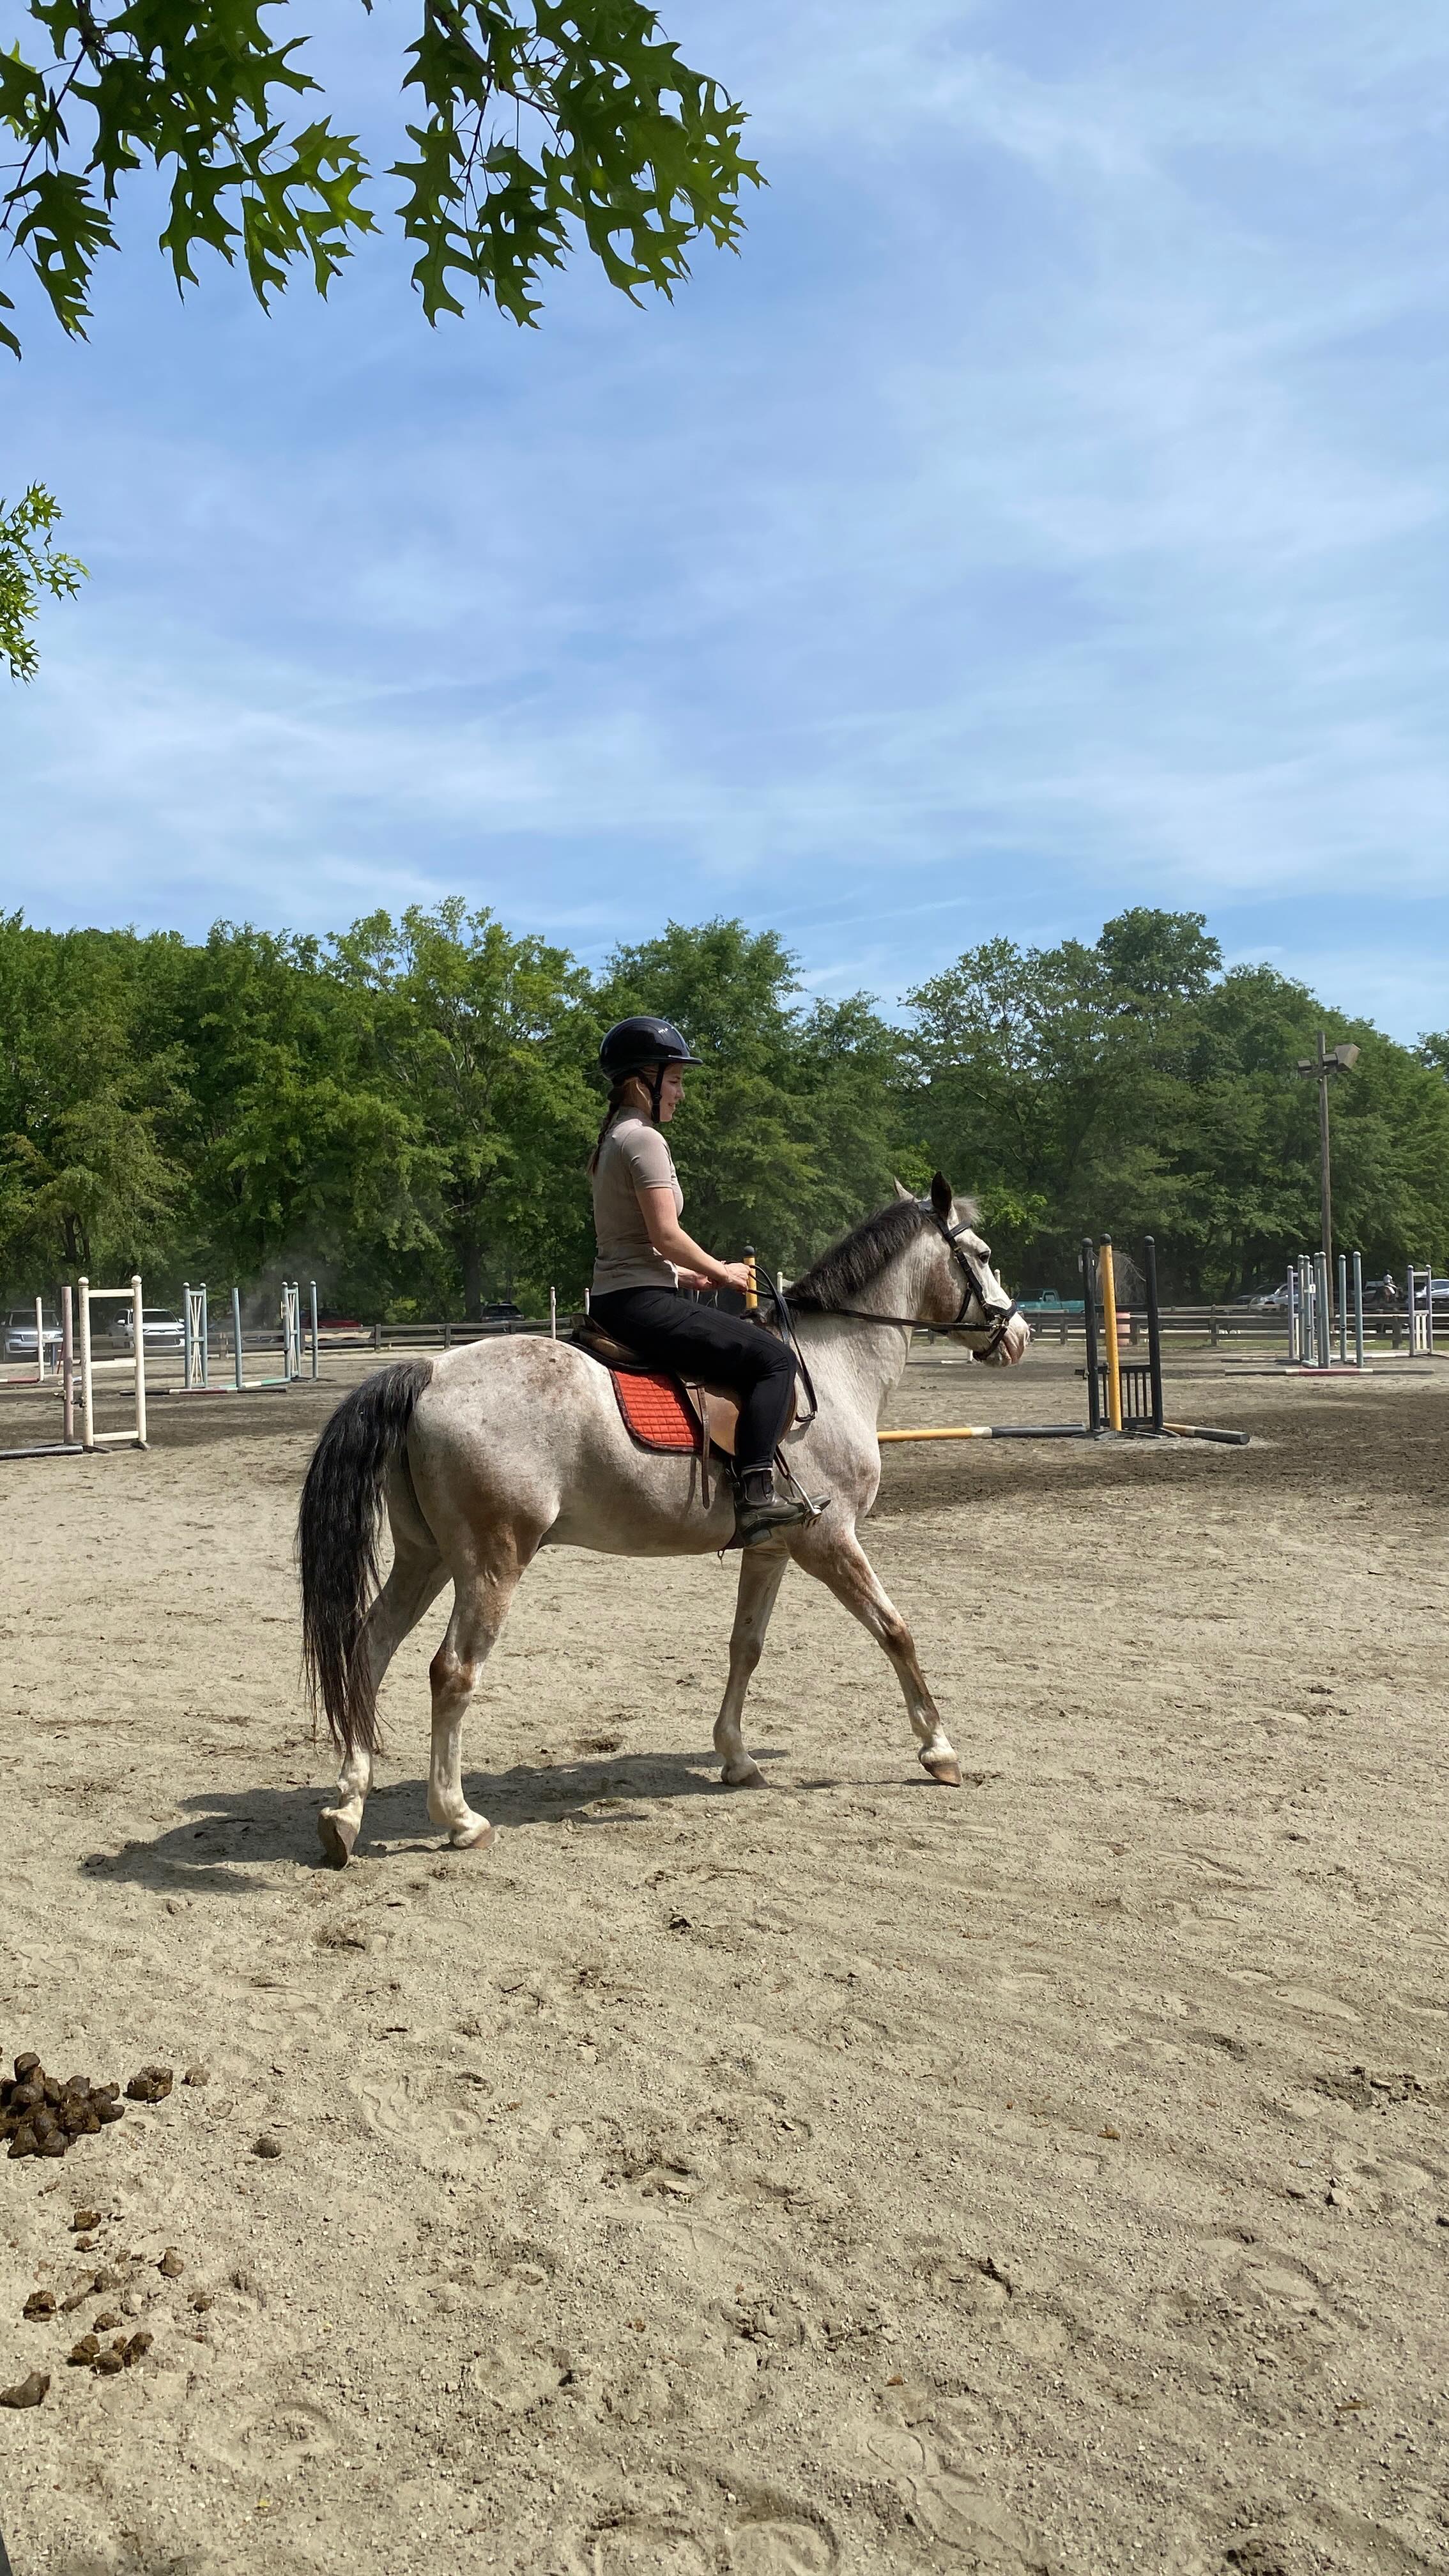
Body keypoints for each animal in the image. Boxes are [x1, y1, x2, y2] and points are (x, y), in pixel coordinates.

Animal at [297, 1175, 1031, 1865]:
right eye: (983, 1256)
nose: (1018, 1335)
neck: (829, 1367)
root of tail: (427, 1370)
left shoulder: (773, 1547)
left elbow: (746, 1646)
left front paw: (737, 1757)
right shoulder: (829, 1541)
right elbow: (895, 1631)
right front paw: (938, 1750)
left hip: (426, 1557)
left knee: (368, 1649)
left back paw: (346, 1812)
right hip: (490, 1563)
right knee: (451, 1672)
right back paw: (458, 1819)